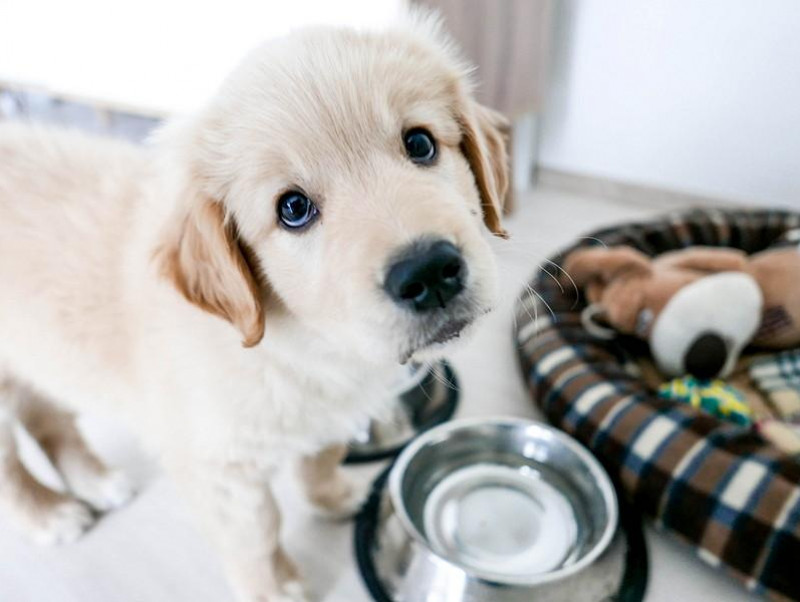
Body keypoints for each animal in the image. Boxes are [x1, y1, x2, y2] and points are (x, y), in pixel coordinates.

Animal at [0, 10, 510, 600]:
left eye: (421, 144)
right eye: (293, 209)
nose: (428, 273)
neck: (307, 344)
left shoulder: (329, 410)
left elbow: (320, 456)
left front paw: (332, 495)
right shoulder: (220, 468)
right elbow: (257, 533)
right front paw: (272, 587)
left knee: (48, 418)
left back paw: (97, 482)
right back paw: (49, 514)